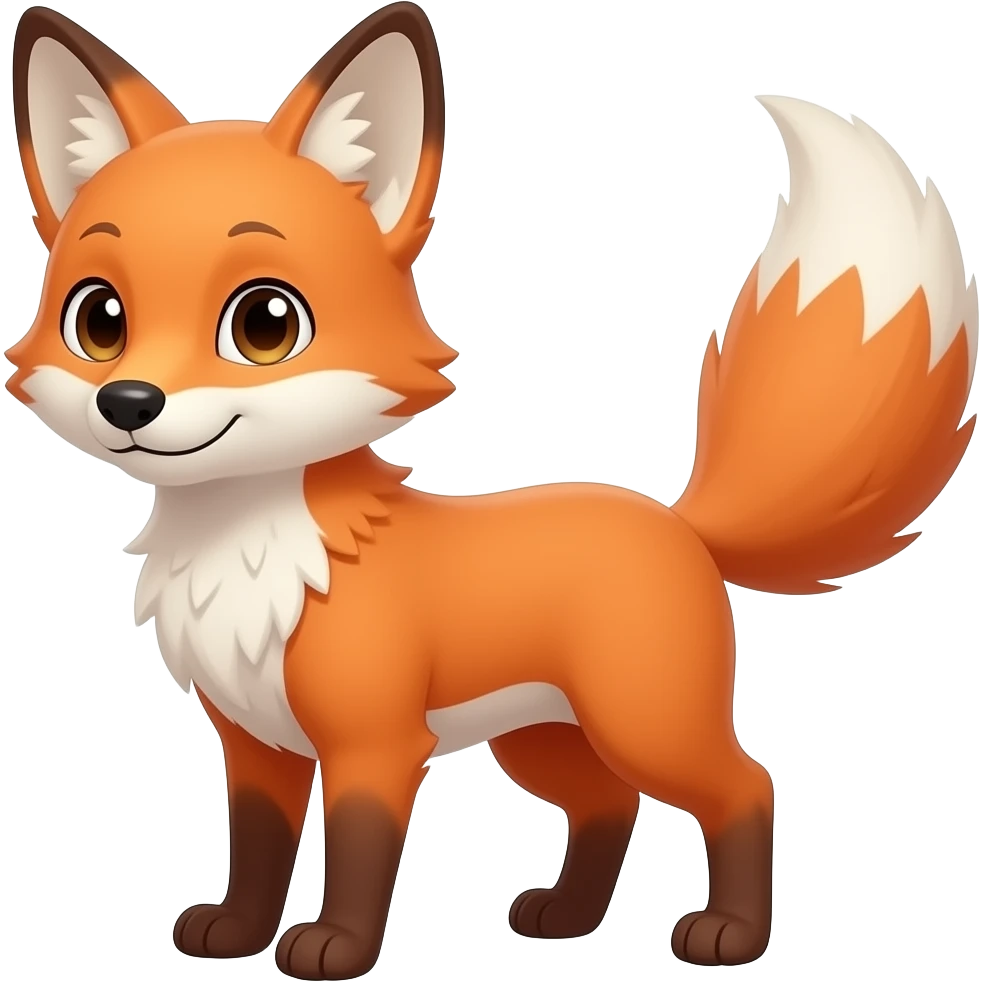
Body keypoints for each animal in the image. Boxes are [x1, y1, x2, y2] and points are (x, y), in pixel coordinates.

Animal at [6, 3, 979, 978]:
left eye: (265, 324)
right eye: (98, 319)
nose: (129, 403)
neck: (252, 555)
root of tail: (676, 521)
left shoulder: (375, 742)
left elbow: (356, 851)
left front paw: (336, 947)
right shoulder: (255, 745)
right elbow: (257, 849)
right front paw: (237, 935)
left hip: (643, 721)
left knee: (746, 786)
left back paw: (730, 934)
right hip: (542, 738)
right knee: (608, 806)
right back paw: (569, 918)